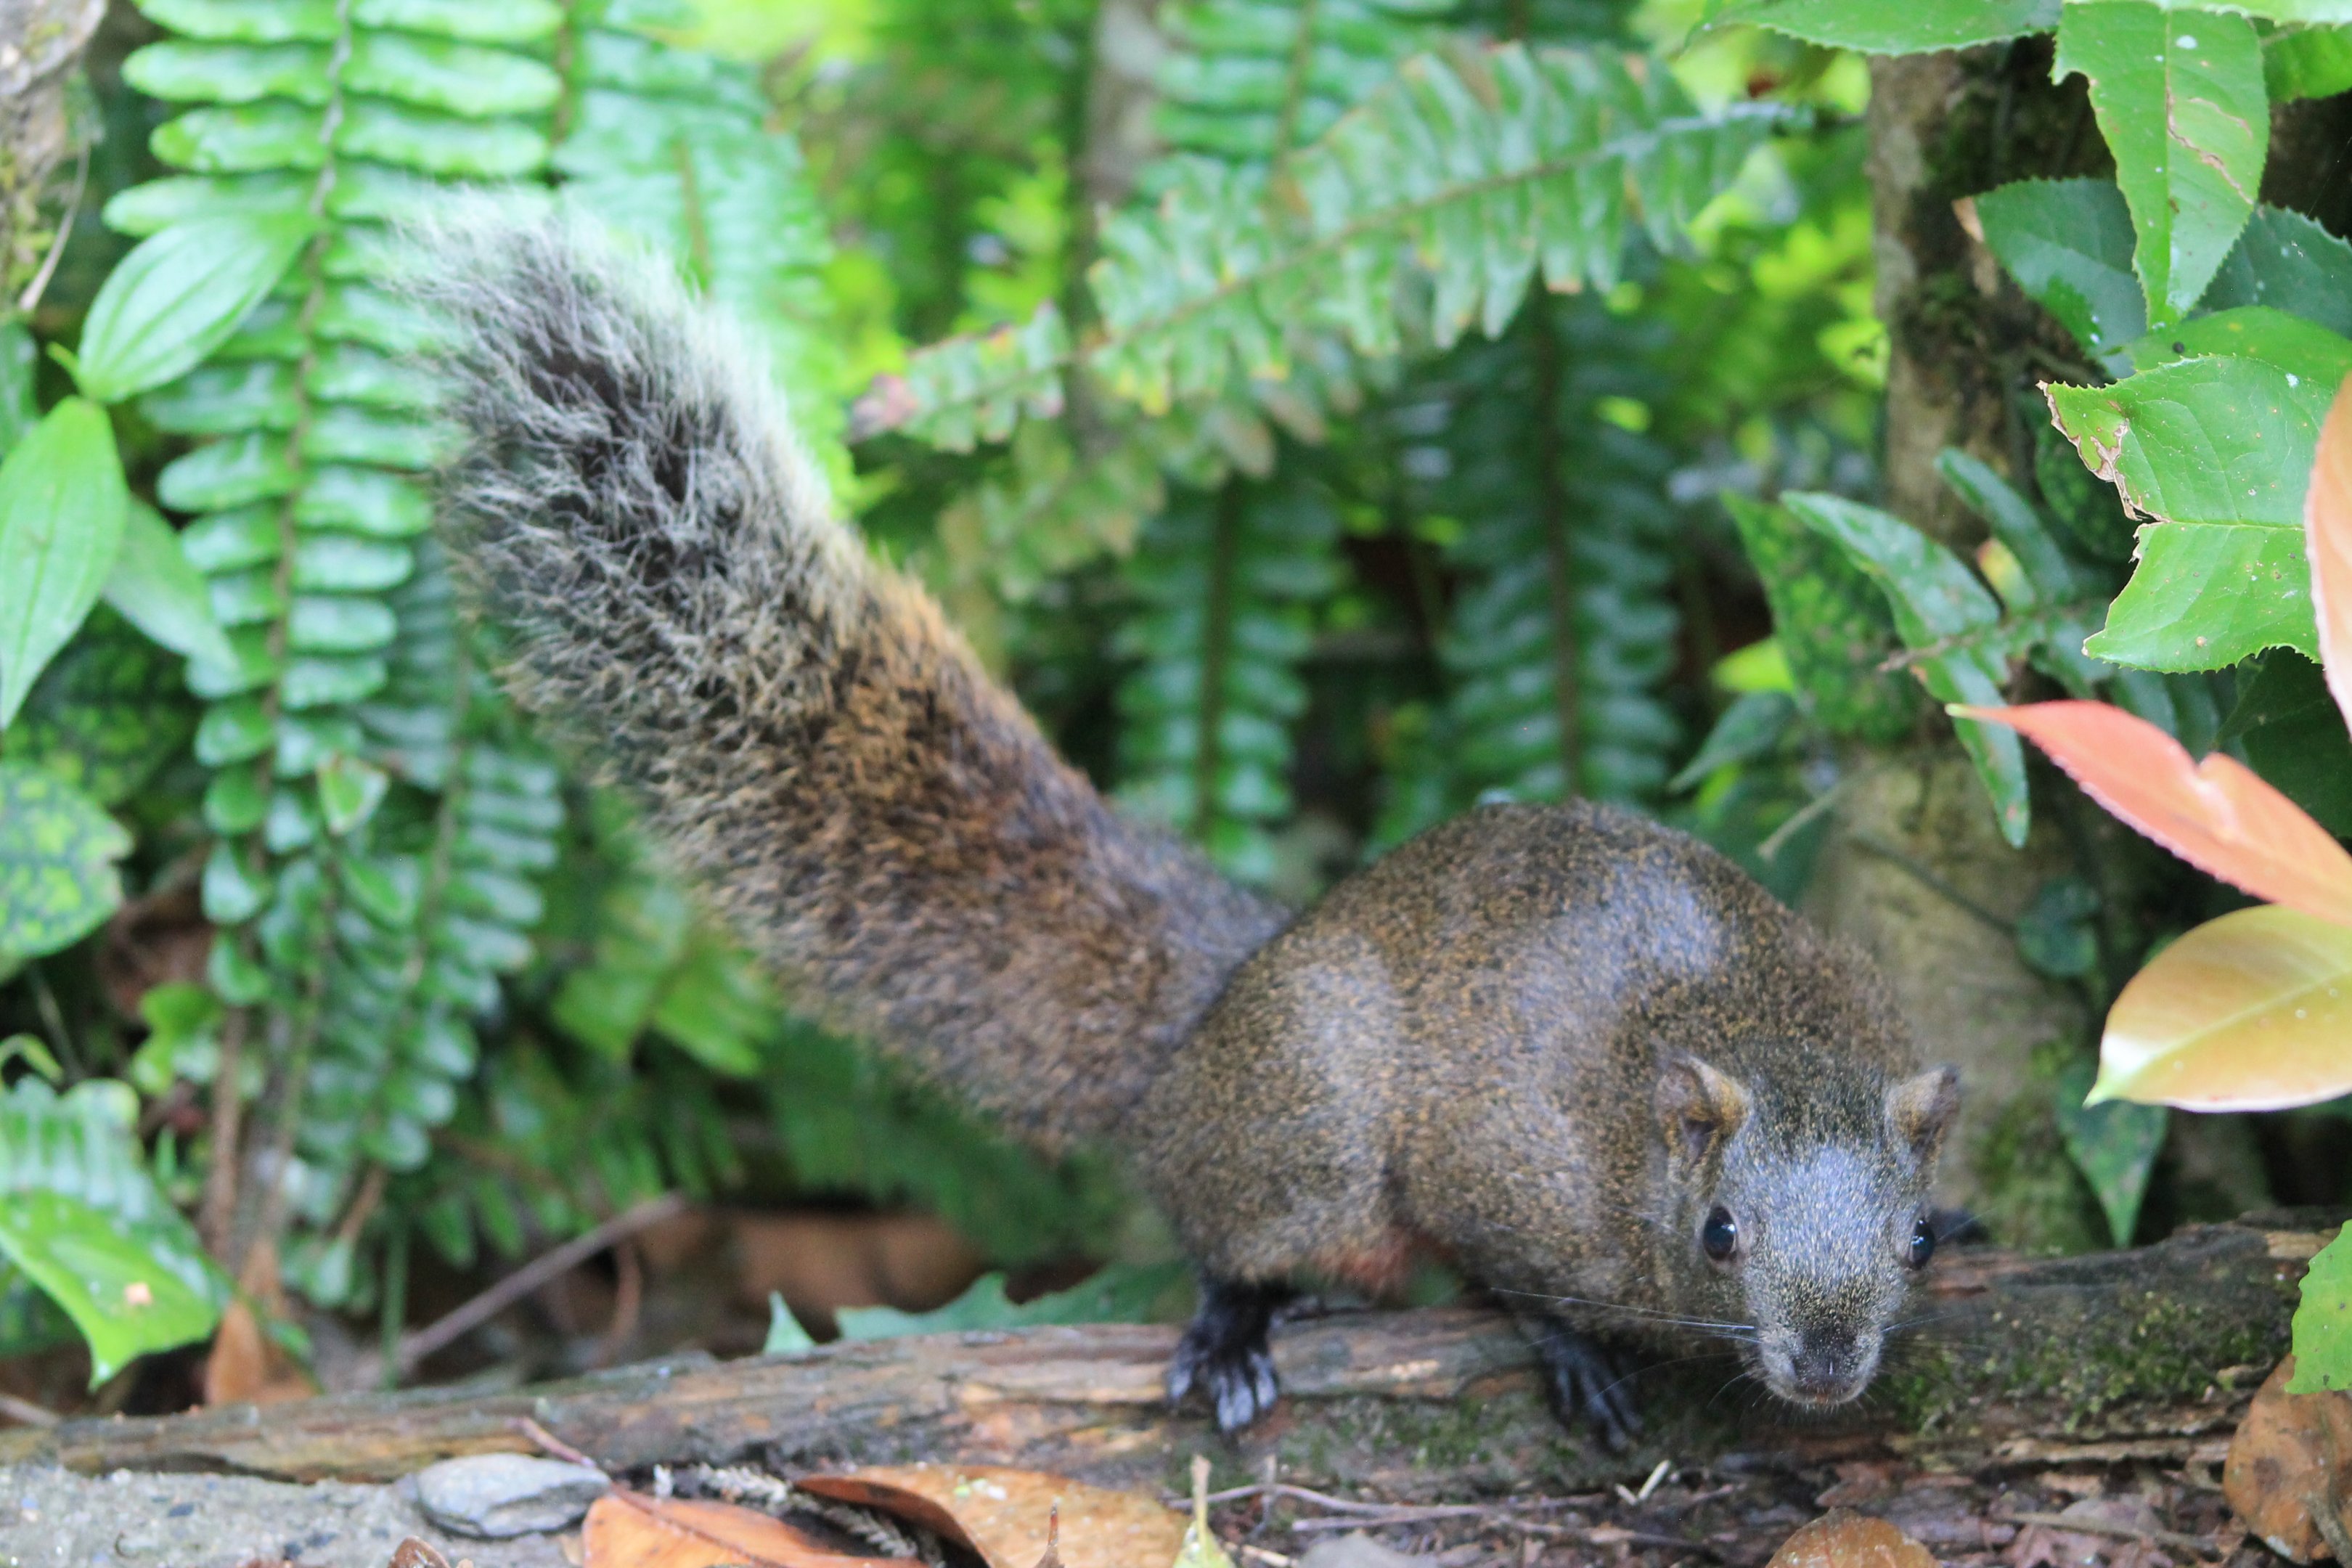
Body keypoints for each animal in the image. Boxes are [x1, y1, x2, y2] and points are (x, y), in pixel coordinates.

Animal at [413, 215, 1962, 1447]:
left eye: (1914, 1236)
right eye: (1721, 1231)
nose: (1827, 1369)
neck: (1726, 1041)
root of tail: (1225, 1002)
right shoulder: (1499, 1162)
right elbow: (1506, 1275)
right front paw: (1574, 1353)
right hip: (1308, 1131)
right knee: (1230, 1228)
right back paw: (1232, 1336)